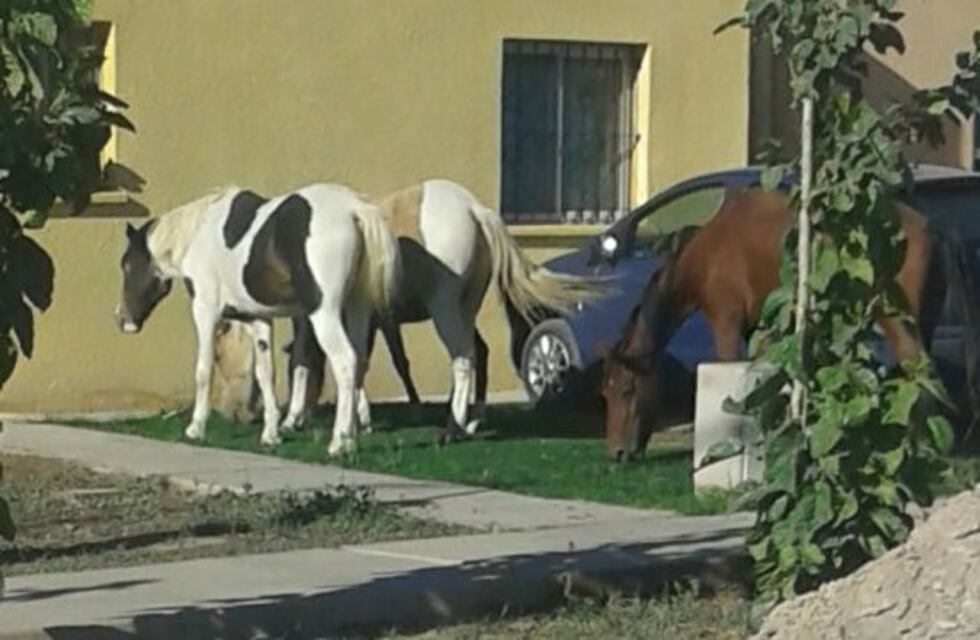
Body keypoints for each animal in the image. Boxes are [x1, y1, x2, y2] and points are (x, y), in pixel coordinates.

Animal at [116, 183, 400, 456]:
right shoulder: (259, 318)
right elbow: (265, 373)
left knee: (345, 361)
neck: (199, 234)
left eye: (127, 264)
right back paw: (352, 438)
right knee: (360, 361)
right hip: (357, 308)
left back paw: (339, 442)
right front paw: (270, 434)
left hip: (324, 314)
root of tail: (354, 211)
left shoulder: (205, 311)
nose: (122, 319)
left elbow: (203, 369)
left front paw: (196, 428)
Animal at [282, 178, 605, 444]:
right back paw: (469, 421)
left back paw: (453, 427)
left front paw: (293, 419)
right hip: (465, 308)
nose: (308, 416)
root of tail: (475, 210)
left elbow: (306, 360)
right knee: (475, 353)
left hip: (445, 308)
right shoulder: (377, 321)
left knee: (464, 356)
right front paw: (361, 419)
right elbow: (365, 359)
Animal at [601, 187, 980, 461]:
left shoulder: (725, 321)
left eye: (626, 389)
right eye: (605, 392)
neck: (706, 253)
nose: (617, 451)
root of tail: (932, 226)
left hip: (897, 321)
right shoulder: (761, 328)